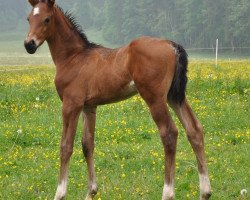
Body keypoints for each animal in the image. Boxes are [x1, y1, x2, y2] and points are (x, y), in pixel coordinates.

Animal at [24, 0, 212, 199]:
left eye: (46, 19)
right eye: (29, 18)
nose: (29, 44)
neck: (74, 57)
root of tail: (172, 46)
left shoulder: (71, 105)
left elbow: (66, 146)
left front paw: (60, 193)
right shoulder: (89, 106)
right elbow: (87, 144)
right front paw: (91, 191)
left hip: (155, 98)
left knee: (169, 133)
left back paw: (168, 193)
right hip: (174, 96)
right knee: (194, 129)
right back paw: (205, 192)